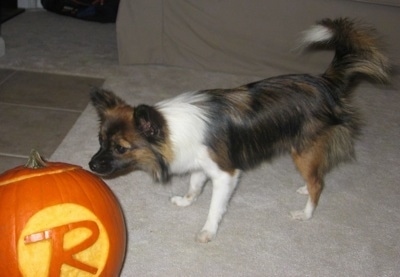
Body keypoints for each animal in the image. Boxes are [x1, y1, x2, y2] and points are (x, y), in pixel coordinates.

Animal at [88, 17, 390, 242]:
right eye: (100, 140)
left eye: (121, 148)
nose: (90, 166)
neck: (169, 128)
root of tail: (325, 82)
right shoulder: (200, 164)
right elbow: (194, 186)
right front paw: (186, 202)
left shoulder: (225, 175)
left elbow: (214, 207)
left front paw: (207, 231)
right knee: (317, 176)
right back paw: (304, 190)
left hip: (303, 150)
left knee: (318, 183)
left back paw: (305, 213)